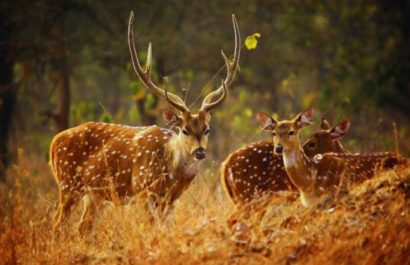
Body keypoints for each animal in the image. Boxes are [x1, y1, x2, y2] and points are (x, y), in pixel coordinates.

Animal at [48, 11, 240, 232]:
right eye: (184, 130)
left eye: (207, 129)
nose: (199, 152)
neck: (171, 174)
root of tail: (54, 142)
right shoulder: (142, 190)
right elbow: (150, 228)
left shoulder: (170, 200)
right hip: (67, 183)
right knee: (57, 224)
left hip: (95, 194)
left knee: (82, 227)